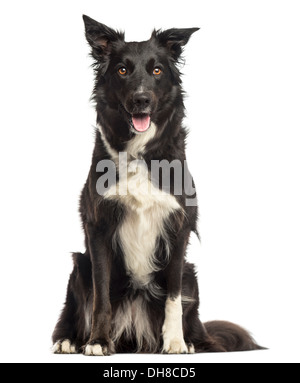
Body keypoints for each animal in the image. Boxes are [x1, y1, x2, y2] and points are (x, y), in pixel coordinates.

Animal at [52, 15, 262, 356]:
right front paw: (97, 341)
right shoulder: (98, 228)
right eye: (122, 70)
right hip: (79, 264)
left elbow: (173, 297)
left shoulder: (179, 229)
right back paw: (71, 339)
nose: (141, 99)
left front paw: (175, 341)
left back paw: (191, 341)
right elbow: (100, 297)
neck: (141, 154)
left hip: (192, 273)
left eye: (157, 70)